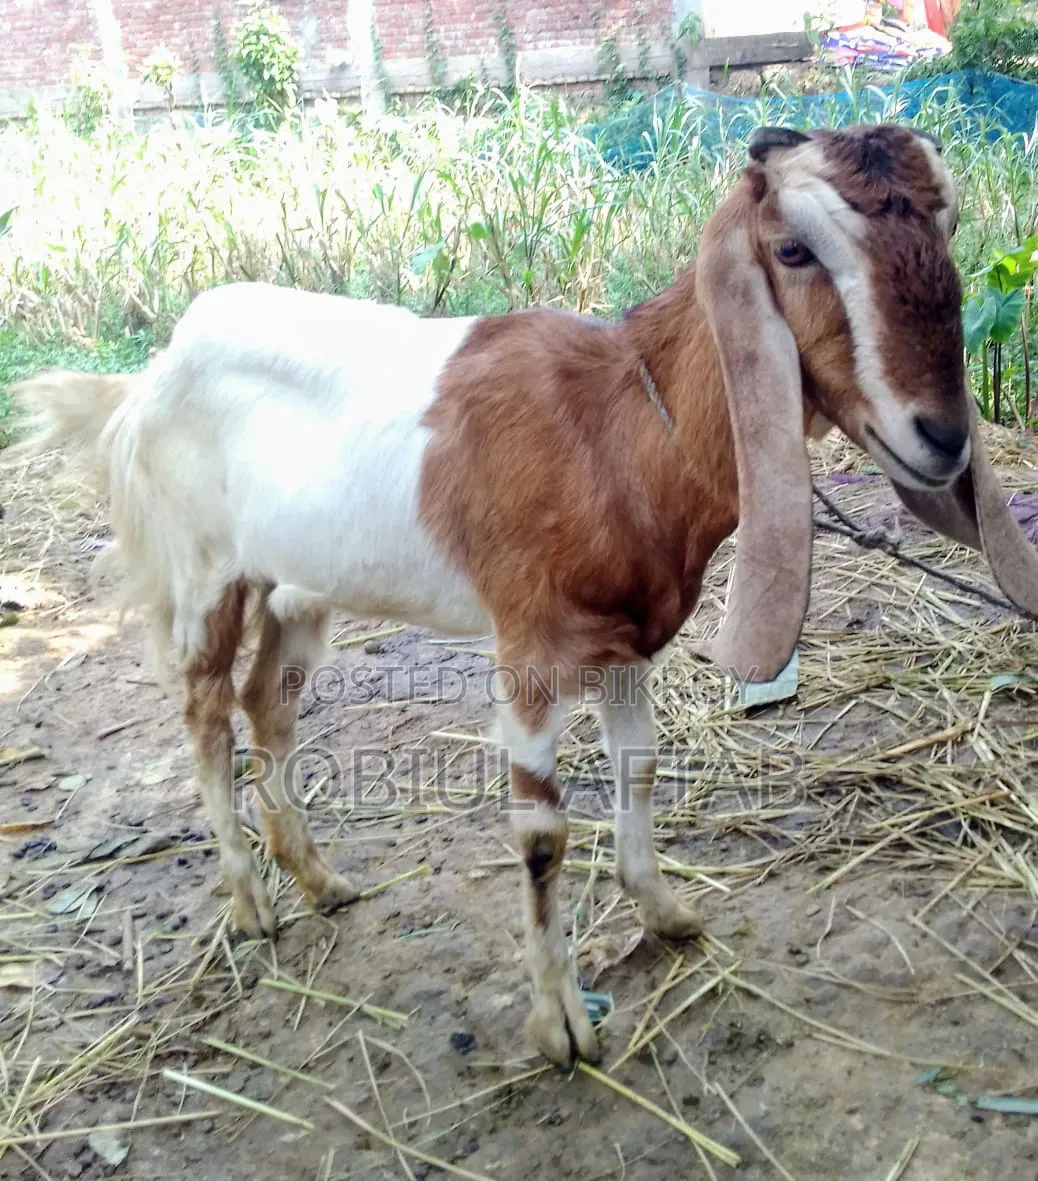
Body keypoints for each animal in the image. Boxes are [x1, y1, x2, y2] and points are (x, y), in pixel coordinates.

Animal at [14, 123, 1038, 1067]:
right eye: (793, 249)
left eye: (946, 226)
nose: (942, 436)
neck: (620, 425)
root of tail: (147, 378)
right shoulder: (531, 651)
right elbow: (542, 834)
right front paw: (563, 1028)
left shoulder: (627, 641)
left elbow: (640, 770)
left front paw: (666, 913)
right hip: (205, 572)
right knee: (204, 715)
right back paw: (252, 903)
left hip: (296, 585)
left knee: (268, 704)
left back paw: (321, 881)